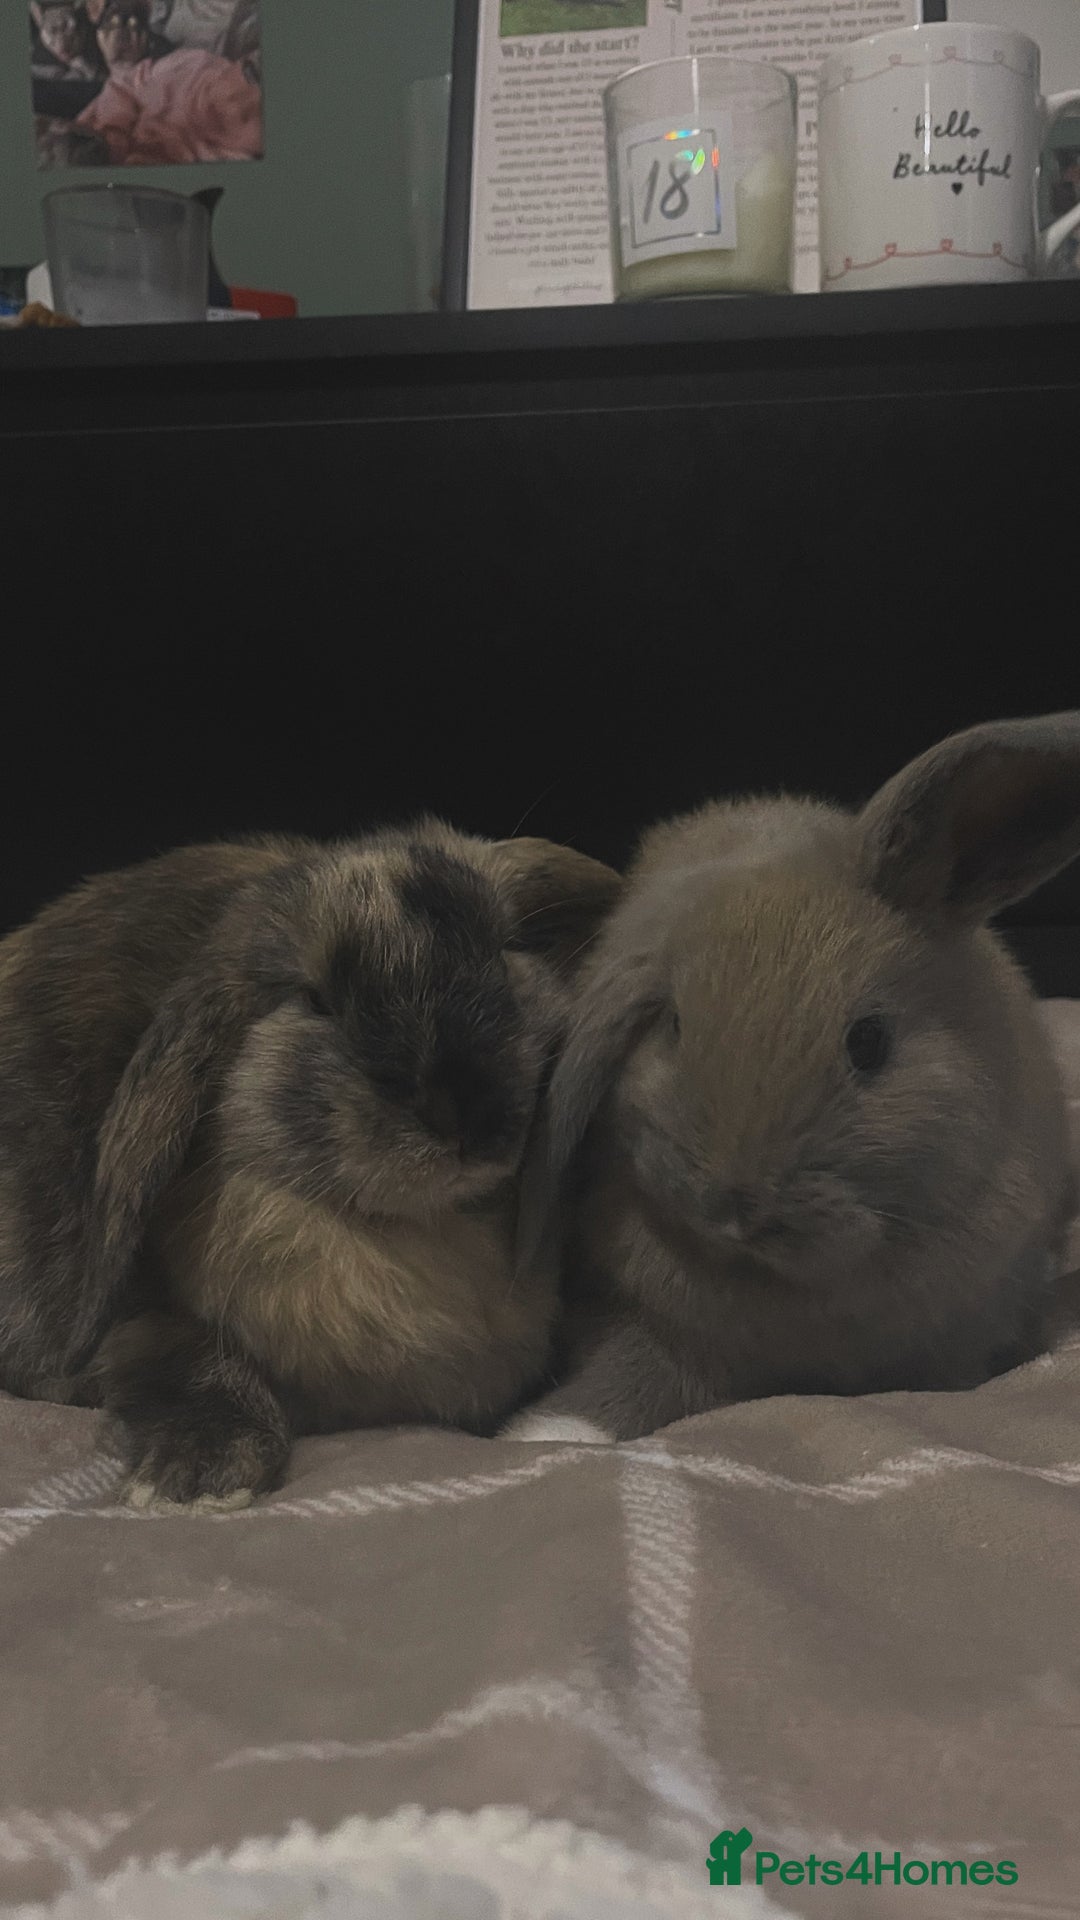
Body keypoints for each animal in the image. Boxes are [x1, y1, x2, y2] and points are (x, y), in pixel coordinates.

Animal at [0, 821, 621, 1505]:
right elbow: (185, 1357)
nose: (466, 1114)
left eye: (506, 952)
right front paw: (196, 1480)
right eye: (316, 1000)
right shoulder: (141, 1322)